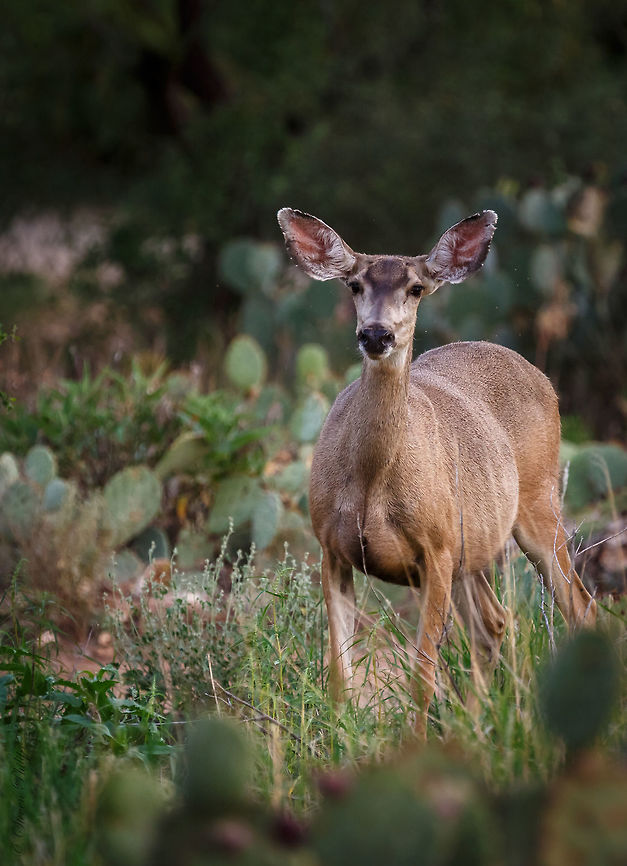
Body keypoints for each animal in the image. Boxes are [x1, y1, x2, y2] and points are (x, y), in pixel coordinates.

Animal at [277, 206, 597, 736]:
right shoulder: (331, 546)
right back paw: (477, 725)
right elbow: (340, 676)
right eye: (354, 285)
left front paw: (418, 745)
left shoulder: (435, 551)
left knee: (579, 606)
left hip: (536, 504)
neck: (372, 482)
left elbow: (423, 675)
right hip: (473, 543)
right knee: (495, 622)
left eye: (415, 288)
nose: (376, 334)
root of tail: (537, 373)